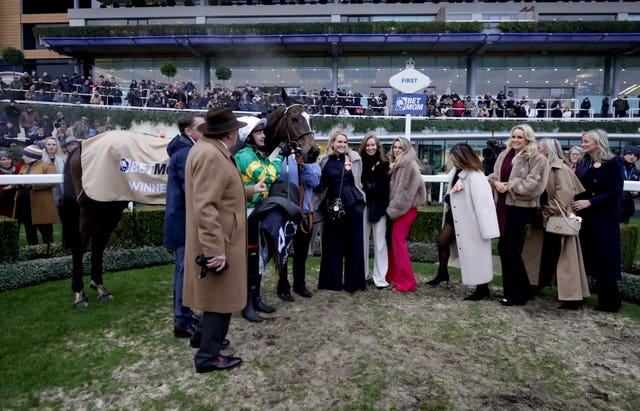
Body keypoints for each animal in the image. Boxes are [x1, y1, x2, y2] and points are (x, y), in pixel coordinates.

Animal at [62, 89, 318, 308]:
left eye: (311, 119)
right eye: (295, 118)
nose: (313, 152)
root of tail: (80, 148)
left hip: (111, 206)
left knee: (99, 242)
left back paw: (100, 287)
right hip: (91, 207)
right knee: (80, 244)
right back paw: (80, 293)